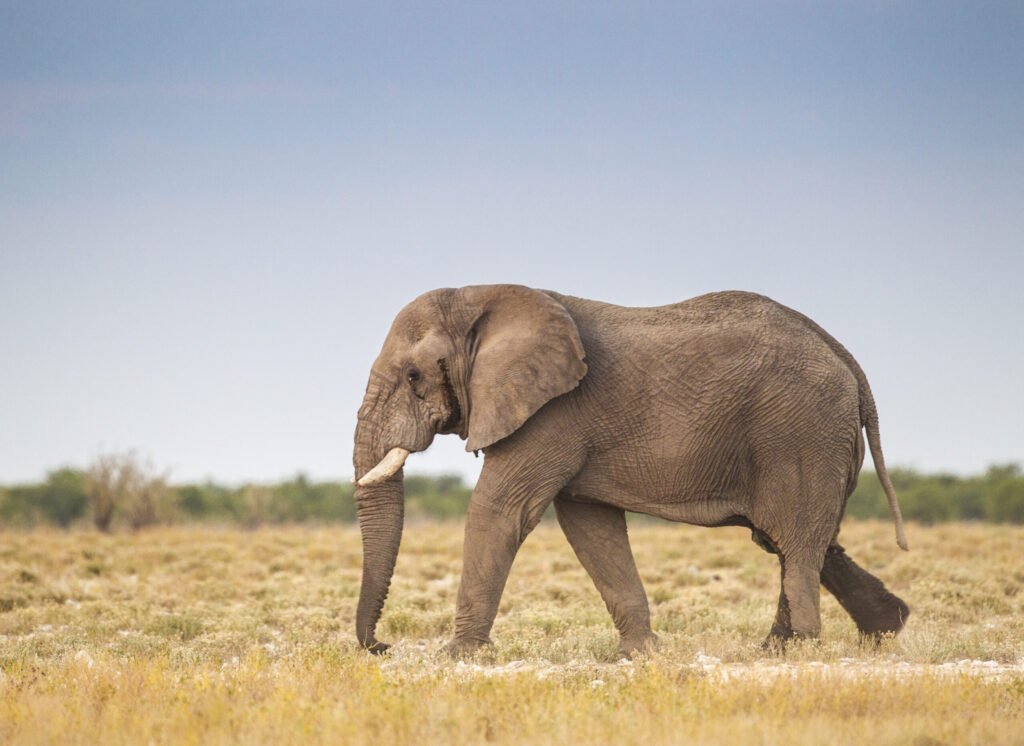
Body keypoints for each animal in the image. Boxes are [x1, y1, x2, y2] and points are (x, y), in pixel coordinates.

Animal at [352, 285, 910, 658]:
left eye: (414, 376)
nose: (381, 646)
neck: (483, 297)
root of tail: (844, 357)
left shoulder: (553, 412)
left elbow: (500, 511)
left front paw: (458, 657)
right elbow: (590, 526)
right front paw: (639, 655)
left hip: (800, 433)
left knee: (794, 541)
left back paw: (797, 649)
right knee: (800, 542)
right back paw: (872, 631)